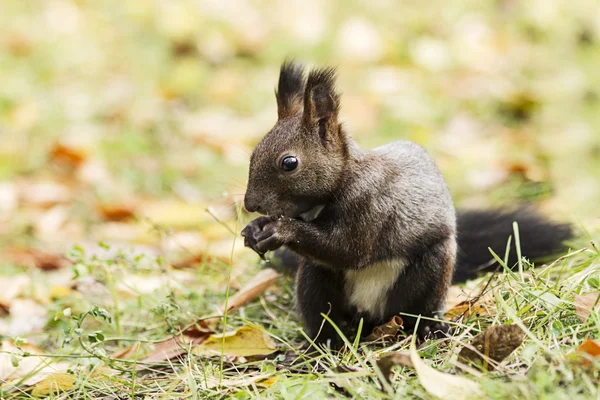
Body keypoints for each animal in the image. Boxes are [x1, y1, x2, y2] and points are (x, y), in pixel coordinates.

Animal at [241, 61, 576, 344]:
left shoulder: (370, 205)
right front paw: (255, 229)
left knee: (415, 311)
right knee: (324, 316)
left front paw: (281, 231)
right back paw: (319, 344)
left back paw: (429, 329)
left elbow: (350, 250)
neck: (342, 180)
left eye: (289, 163)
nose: (249, 204)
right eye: (254, 152)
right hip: (315, 279)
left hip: (430, 273)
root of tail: (369, 313)